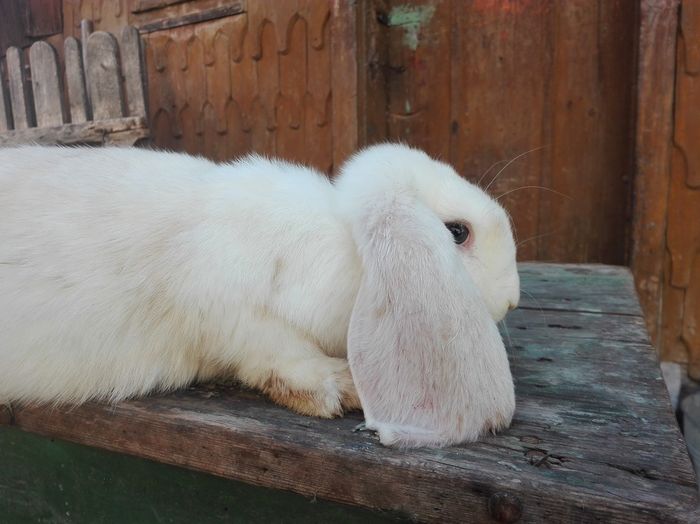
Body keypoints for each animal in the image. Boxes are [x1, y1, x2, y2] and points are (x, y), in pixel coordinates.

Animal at [0, 143, 516, 446]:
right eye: (457, 232)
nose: (513, 299)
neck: (343, 244)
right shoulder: (235, 316)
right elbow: (276, 355)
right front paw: (338, 385)